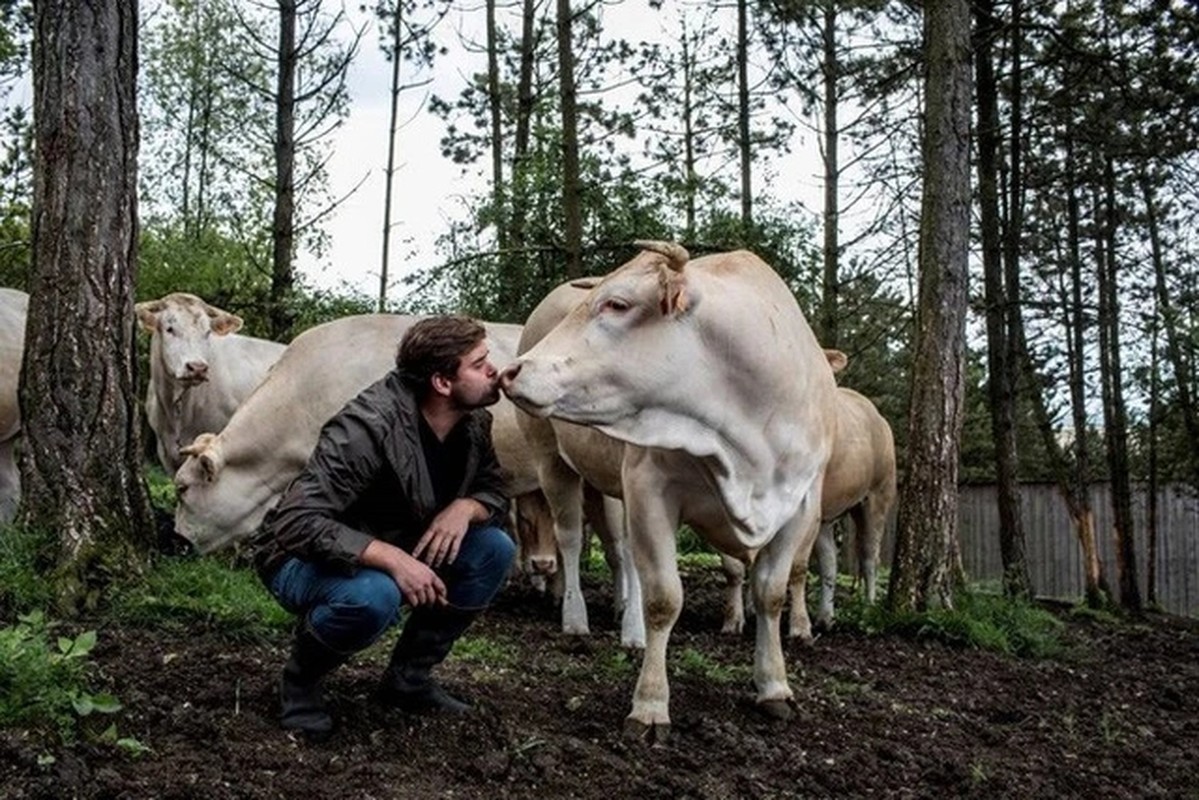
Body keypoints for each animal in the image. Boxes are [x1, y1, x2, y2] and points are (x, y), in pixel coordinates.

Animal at [501, 241, 839, 743]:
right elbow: (664, 598)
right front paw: (649, 704)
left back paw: (627, 622)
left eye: (617, 303)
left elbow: (771, 594)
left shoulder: (798, 506)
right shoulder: (651, 490)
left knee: (621, 552)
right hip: (554, 461)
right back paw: (578, 618)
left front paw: (774, 686)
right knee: (571, 541)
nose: (512, 371)